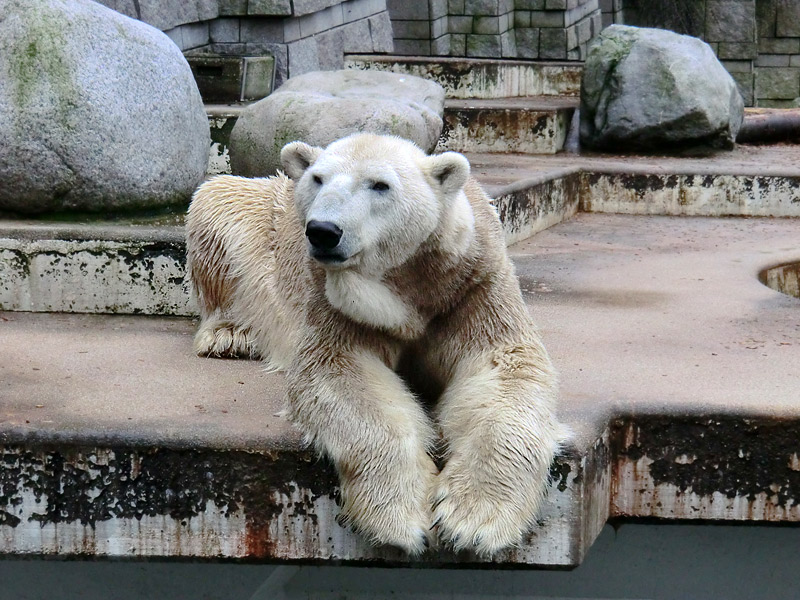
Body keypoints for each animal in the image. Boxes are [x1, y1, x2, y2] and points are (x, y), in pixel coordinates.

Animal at [187, 134, 564, 556]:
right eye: (318, 178)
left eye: (380, 185)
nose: (322, 230)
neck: (409, 287)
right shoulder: (337, 302)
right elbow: (341, 371)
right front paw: (404, 518)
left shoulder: (472, 286)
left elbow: (507, 365)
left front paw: (473, 521)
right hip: (257, 221)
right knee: (217, 199)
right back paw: (230, 334)